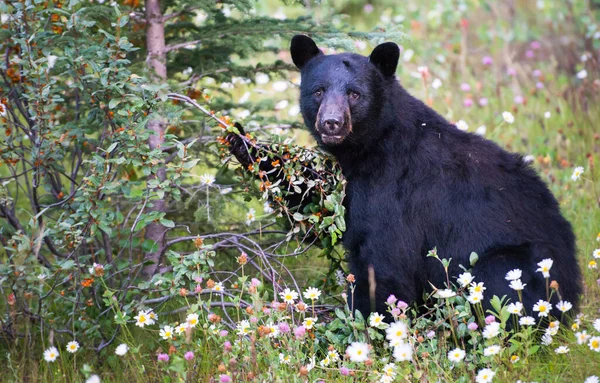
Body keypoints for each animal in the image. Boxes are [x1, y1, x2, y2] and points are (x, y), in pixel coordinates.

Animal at [226, 35, 580, 320]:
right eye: (318, 91)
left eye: (354, 94)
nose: (331, 123)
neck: (370, 146)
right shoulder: (349, 184)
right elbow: (315, 210)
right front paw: (244, 142)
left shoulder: (394, 187)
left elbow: (385, 261)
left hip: (514, 265)